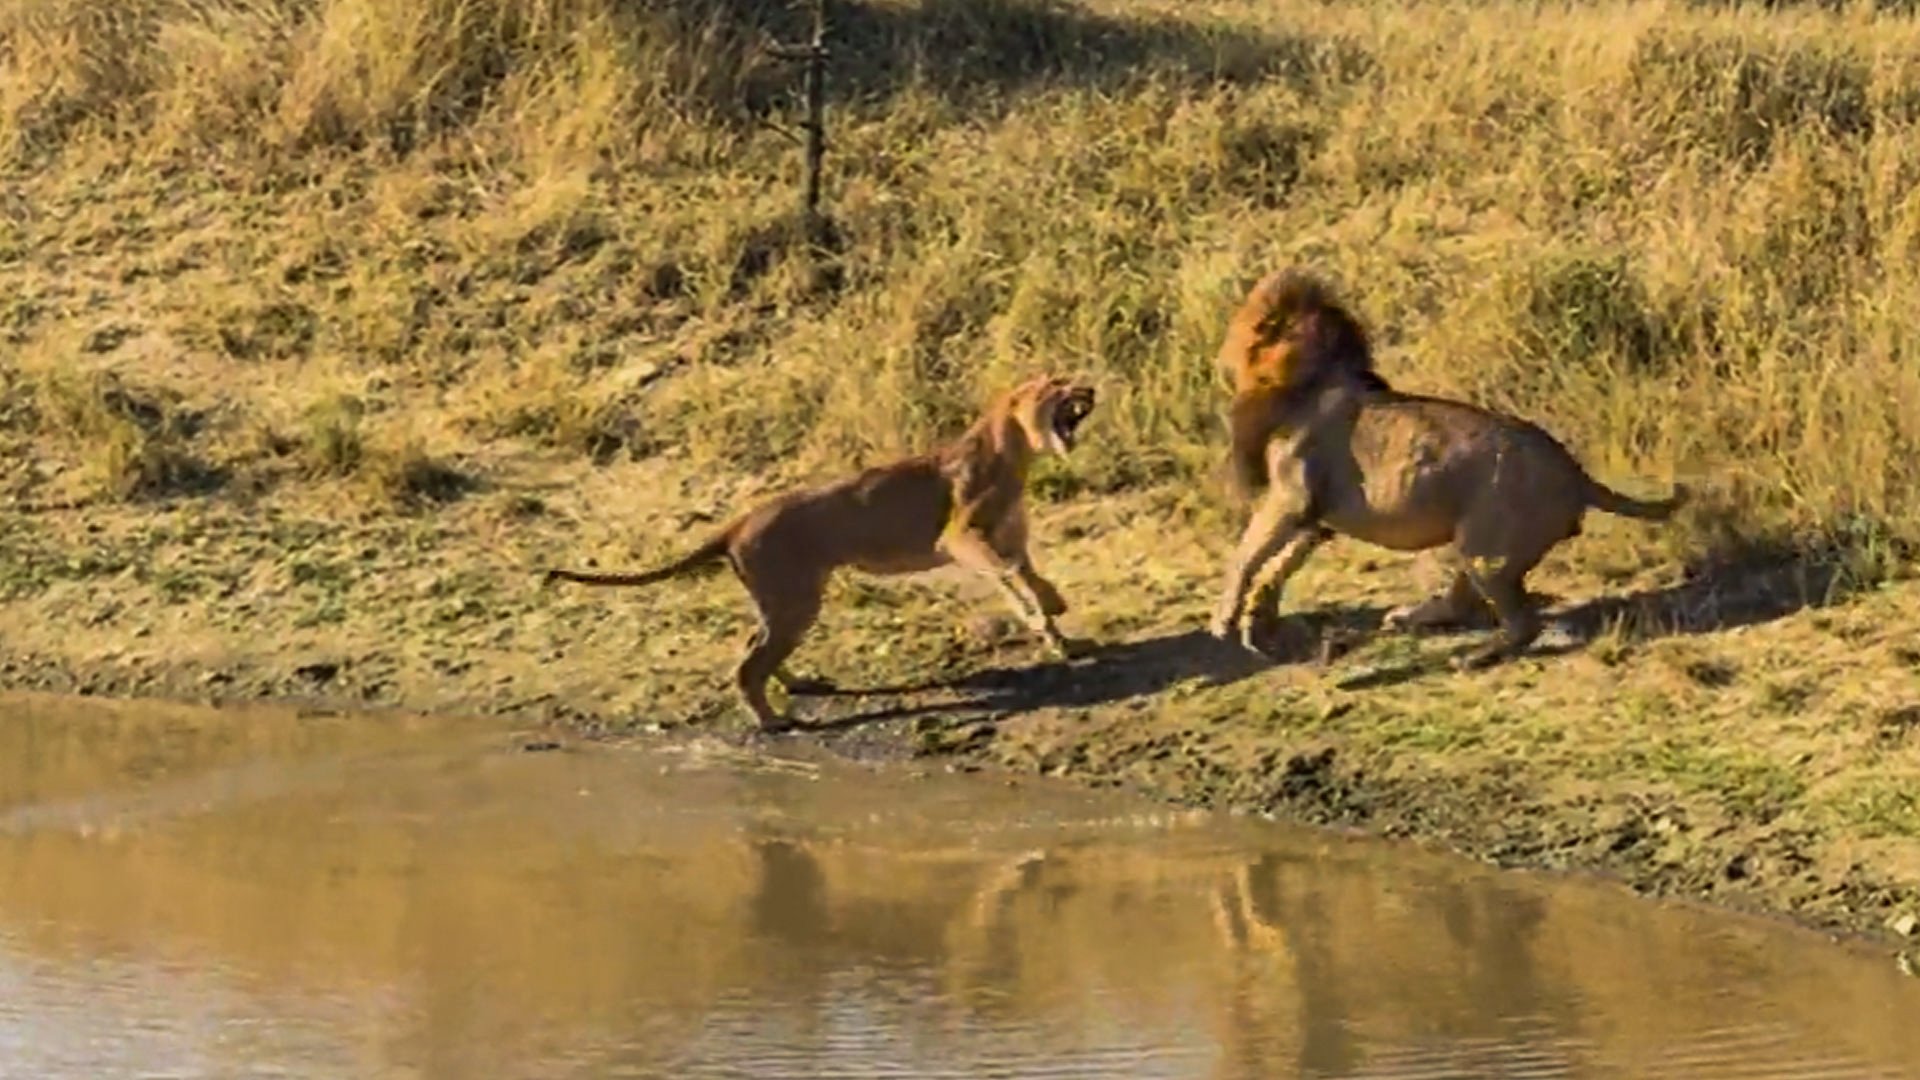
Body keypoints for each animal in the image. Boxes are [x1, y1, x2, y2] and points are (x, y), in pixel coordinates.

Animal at [541, 374, 1098, 732]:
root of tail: (738, 521)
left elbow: (1027, 574)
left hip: (783, 597)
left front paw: (1058, 623)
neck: (1016, 454)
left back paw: (801, 684)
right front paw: (1049, 619)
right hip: (795, 597)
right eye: (1057, 383)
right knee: (749, 664)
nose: (1090, 388)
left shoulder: (1008, 537)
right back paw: (772, 720)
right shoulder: (959, 536)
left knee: (755, 643)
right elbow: (1011, 573)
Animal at [1207, 267, 1688, 669]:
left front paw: (1224, 618)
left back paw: (1472, 656)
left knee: (1522, 624)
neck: (1311, 377)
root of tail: (1576, 473)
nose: (1218, 360)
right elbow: (1278, 563)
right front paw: (1256, 623)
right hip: (1477, 546)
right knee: (1465, 602)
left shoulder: (1291, 497)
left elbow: (1246, 554)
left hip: (1488, 549)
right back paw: (1409, 617)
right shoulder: (1316, 515)